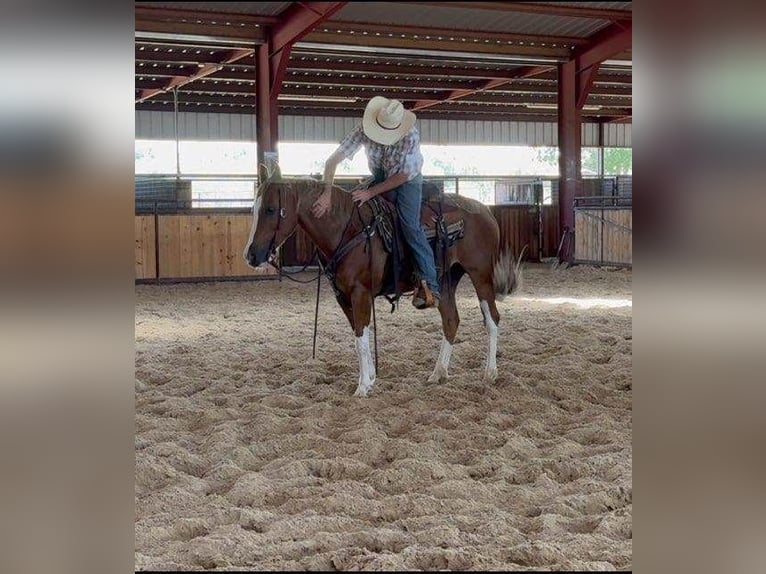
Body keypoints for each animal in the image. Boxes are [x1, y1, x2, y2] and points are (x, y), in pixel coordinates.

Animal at [248, 178, 520, 398]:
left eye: (270, 210)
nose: (251, 255)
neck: (347, 229)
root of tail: (485, 211)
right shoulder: (343, 297)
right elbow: (360, 335)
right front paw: (369, 379)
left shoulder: (360, 293)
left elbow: (361, 338)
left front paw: (362, 387)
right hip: (445, 281)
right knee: (451, 320)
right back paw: (438, 372)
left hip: (480, 275)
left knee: (492, 319)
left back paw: (489, 373)